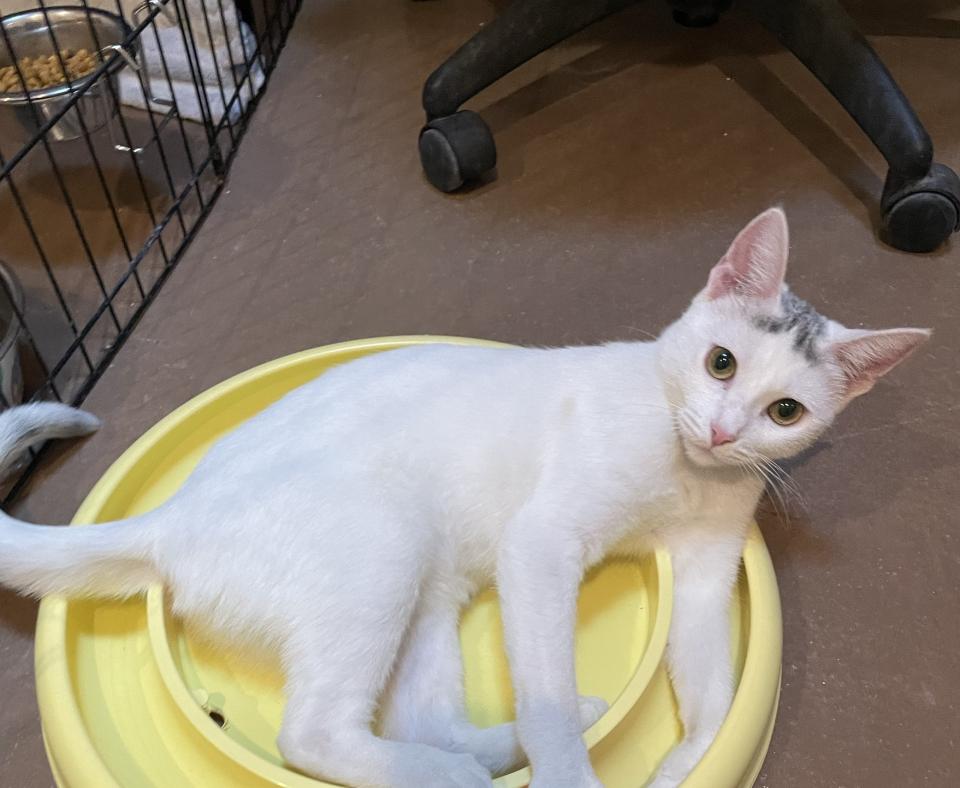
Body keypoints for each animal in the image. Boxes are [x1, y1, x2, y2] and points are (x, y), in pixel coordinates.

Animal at [0, 209, 928, 788]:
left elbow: (714, 697)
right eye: (721, 363)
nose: (728, 433)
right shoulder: (542, 544)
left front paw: (681, 765)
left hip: (426, 596)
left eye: (786, 412)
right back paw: (459, 772)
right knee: (313, 736)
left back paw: (499, 749)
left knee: (415, 720)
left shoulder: (703, 575)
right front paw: (565, 769)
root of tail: (173, 519)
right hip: (385, 544)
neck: (688, 470)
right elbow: (543, 690)